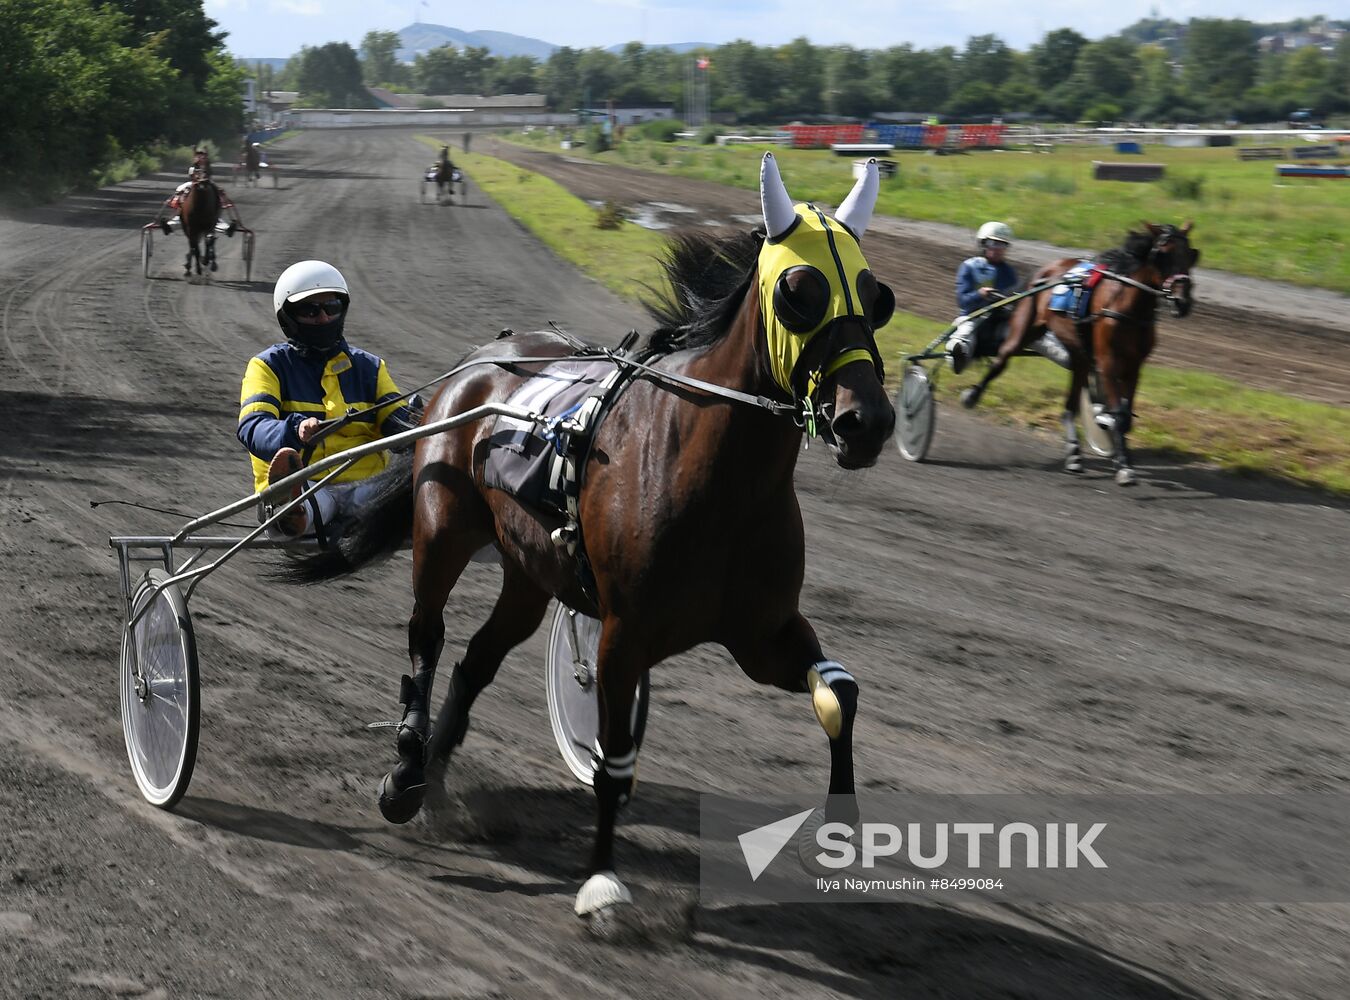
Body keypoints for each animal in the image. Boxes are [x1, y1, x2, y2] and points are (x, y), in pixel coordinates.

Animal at [286, 153, 896, 912]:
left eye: (877, 295)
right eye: (801, 291)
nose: (866, 421)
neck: (715, 477)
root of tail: (477, 364)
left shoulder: (761, 631)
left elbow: (840, 694)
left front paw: (843, 832)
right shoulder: (624, 634)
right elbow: (615, 758)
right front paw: (603, 881)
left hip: (528, 572)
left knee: (477, 659)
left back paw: (438, 778)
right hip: (443, 529)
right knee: (427, 636)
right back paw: (406, 774)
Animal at [955, 221, 1198, 483]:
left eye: (1191, 254)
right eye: (1162, 254)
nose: (1182, 302)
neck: (1125, 304)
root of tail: (1045, 270)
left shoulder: (1134, 366)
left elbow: (1124, 416)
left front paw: (1119, 456)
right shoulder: (1107, 361)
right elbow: (1119, 413)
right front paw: (1124, 466)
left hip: (1079, 353)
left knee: (1070, 405)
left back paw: (1074, 453)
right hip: (1025, 329)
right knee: (1001, 360)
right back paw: (972, 395)